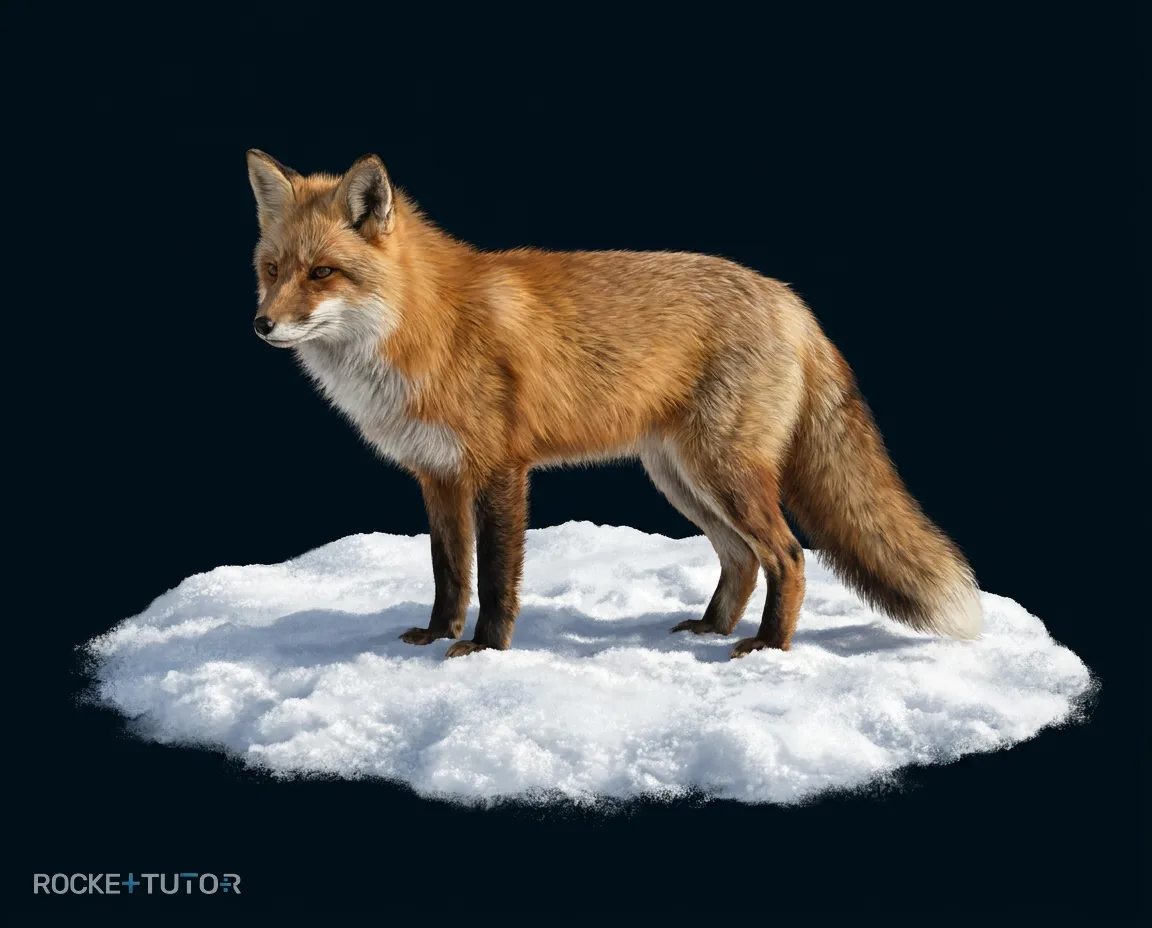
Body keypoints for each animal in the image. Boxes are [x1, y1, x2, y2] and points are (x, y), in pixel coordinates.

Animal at [245, 150, 983, 660]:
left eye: (323, 273)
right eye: (272, 270)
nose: (261, 324)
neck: (425, 324)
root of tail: (788, 297)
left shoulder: (502, 469)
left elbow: (497, 576)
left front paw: (485, 648)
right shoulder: (438, 475)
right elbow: (450, 571)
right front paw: (436, 635)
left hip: (723, 473)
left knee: (790, 556)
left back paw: (768, 649)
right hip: (682, 479)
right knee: (742, 559)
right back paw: (710, 629)